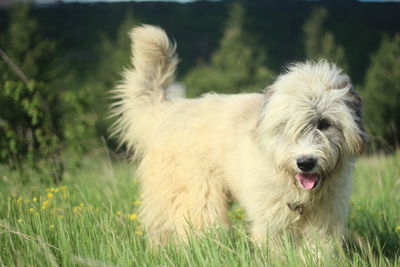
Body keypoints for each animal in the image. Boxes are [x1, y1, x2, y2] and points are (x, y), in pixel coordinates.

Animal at [111, 25, 368, 249]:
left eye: (324, 123)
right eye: (287, 124)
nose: (305, 163)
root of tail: (170, 110)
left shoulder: (324, 222)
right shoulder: (270, 221)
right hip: (196, 195)